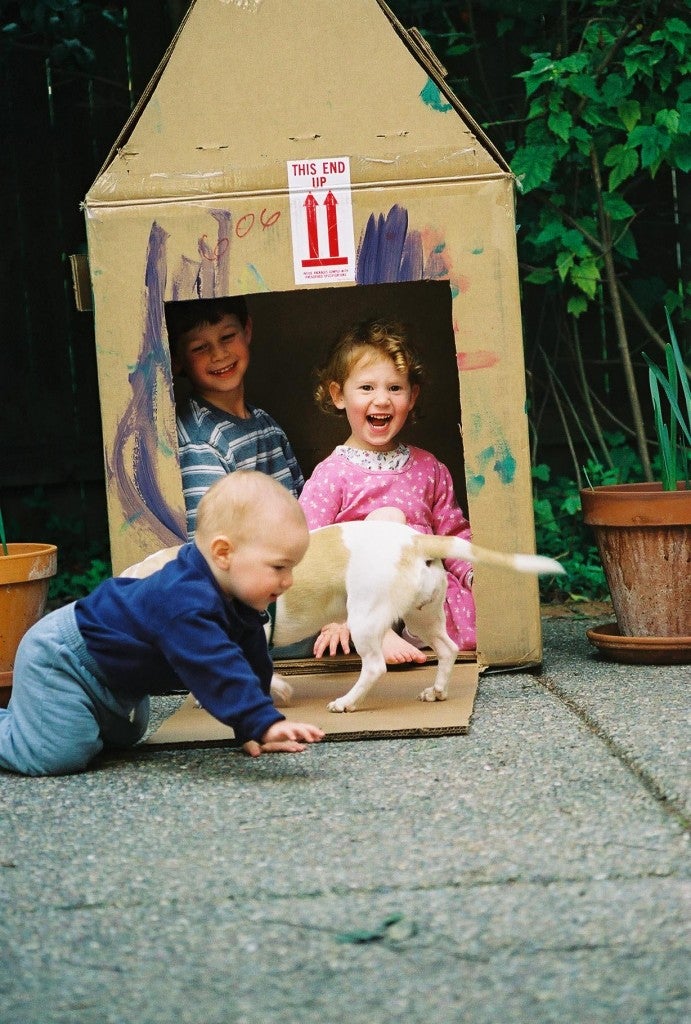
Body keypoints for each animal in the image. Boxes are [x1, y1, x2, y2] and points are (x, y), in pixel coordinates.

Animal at [121, 520, 560, 712]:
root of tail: (416, 539)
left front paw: (279, 691)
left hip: (364, 619)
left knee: (375, 667)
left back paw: (346, 703)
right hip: (423, 617)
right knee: (449, 649)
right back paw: (436, 691)